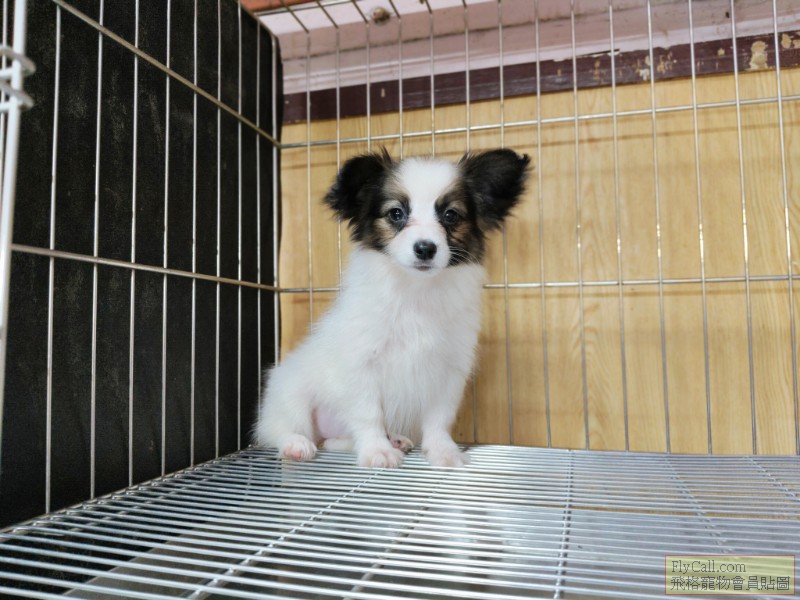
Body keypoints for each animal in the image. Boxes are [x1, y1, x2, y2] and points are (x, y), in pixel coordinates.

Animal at [256, 148, 529, 468]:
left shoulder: (448, 370)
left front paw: (443, 451)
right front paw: (378, 451)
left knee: (332, 441)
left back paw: (391, 438)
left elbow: (439, 419)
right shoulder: (362, 362)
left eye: (450, 215)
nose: (425, 248)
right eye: (396, 213)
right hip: (290, 395)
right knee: (283, 429)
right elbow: (369, 414)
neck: (416, 292)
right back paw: (296, 444)